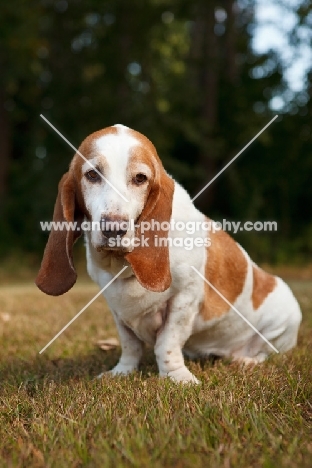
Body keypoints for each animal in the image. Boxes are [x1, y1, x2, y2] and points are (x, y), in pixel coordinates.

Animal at [36, 124, 302, 384]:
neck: (123, 266)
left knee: (265, 353)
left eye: (140, 178)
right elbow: (130, 345)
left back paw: (245, 360)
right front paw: (122, 372)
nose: (114, 227)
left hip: (286, 317)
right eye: (92, 175)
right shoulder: (117, 309)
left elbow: (167, 343)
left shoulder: (184, 299)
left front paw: (176, 377)